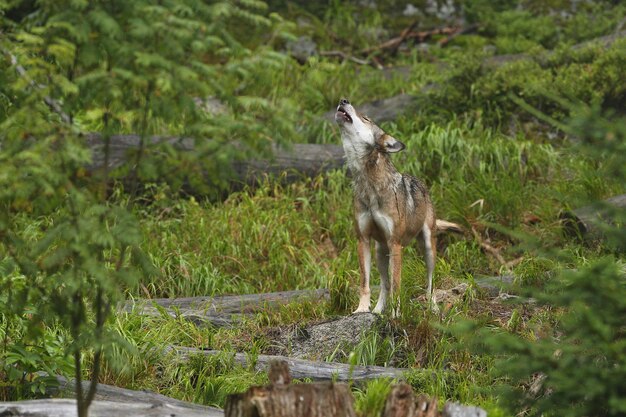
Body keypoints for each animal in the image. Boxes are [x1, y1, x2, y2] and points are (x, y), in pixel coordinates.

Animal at [332, 97, 458, 316]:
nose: (343, 100)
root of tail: (422, 184)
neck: (369, 185)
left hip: (427, 248)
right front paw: (362, 310)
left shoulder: (396, 244)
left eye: (366, 118)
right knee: (384, 284)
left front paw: (396, 314)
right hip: (380, 252)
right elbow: (366, 283)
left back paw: (432, 307)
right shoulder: (363, 240)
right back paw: (377, 310)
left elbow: (398, 285)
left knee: (430, 282)